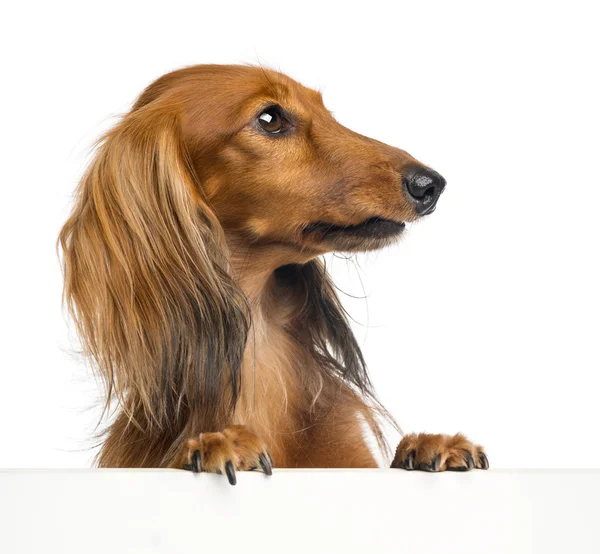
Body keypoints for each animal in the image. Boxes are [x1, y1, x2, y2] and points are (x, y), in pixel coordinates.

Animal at [58, 63, 488, 478]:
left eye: (326, 112)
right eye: (270, 118)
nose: (431, 185)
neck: (256, 353)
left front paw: (431, 445)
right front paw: (221, 444)